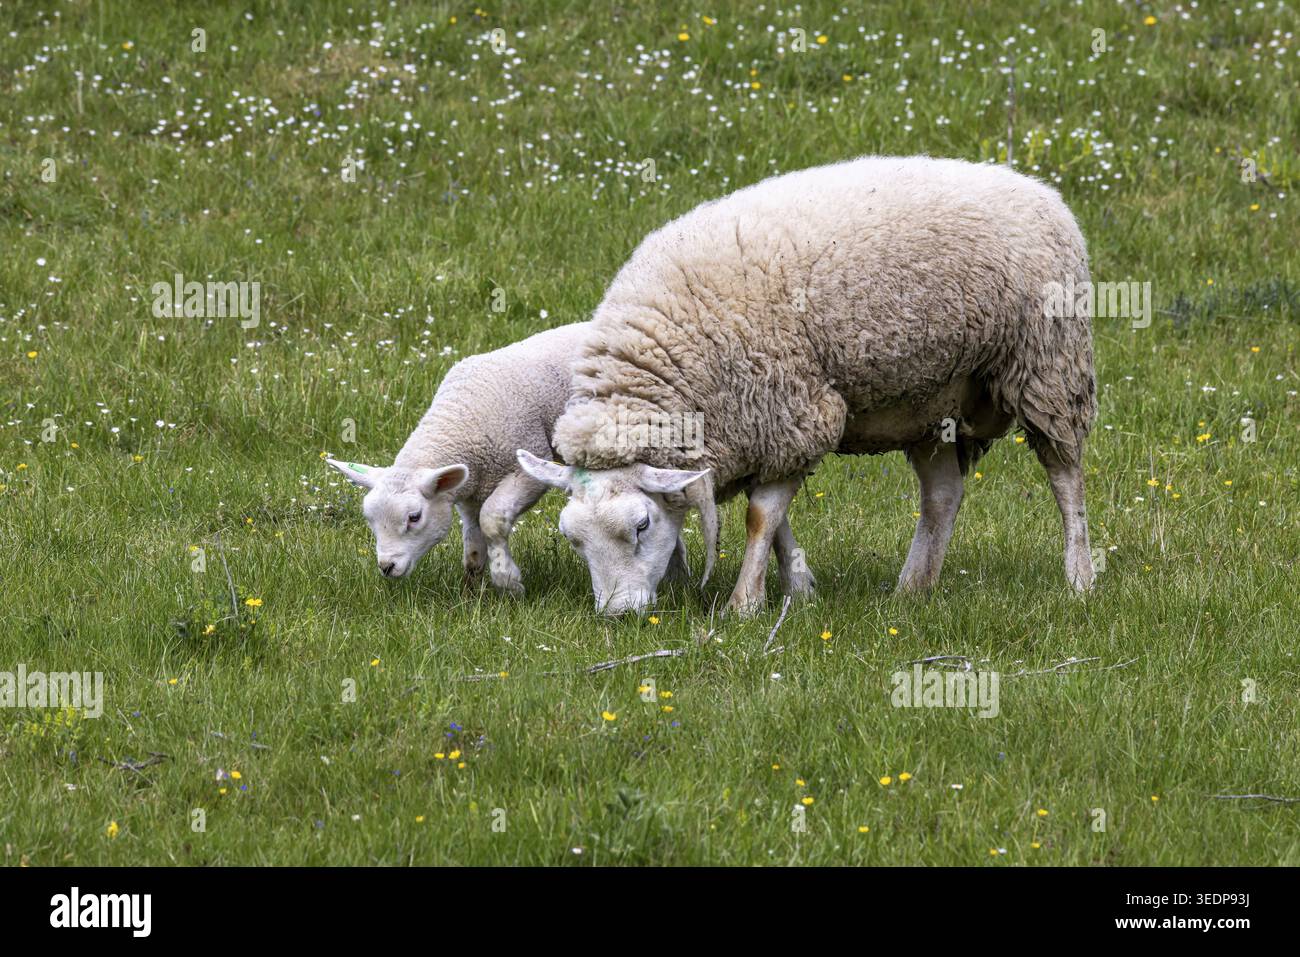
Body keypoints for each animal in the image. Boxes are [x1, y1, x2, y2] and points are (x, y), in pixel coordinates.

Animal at [518, 155, 1097, 616]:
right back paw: (913, 589)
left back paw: (1079, 577)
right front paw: (799, 587)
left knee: (1064, 475)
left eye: (640, 526)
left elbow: (760, 515)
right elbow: (775, 519)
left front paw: (744, 605)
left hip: (1048, 366)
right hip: (933, 399)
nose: (618, 615)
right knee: (943, 496)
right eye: (572, 539)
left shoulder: (792, 409)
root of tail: (1037, 189)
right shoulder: (759, 424)